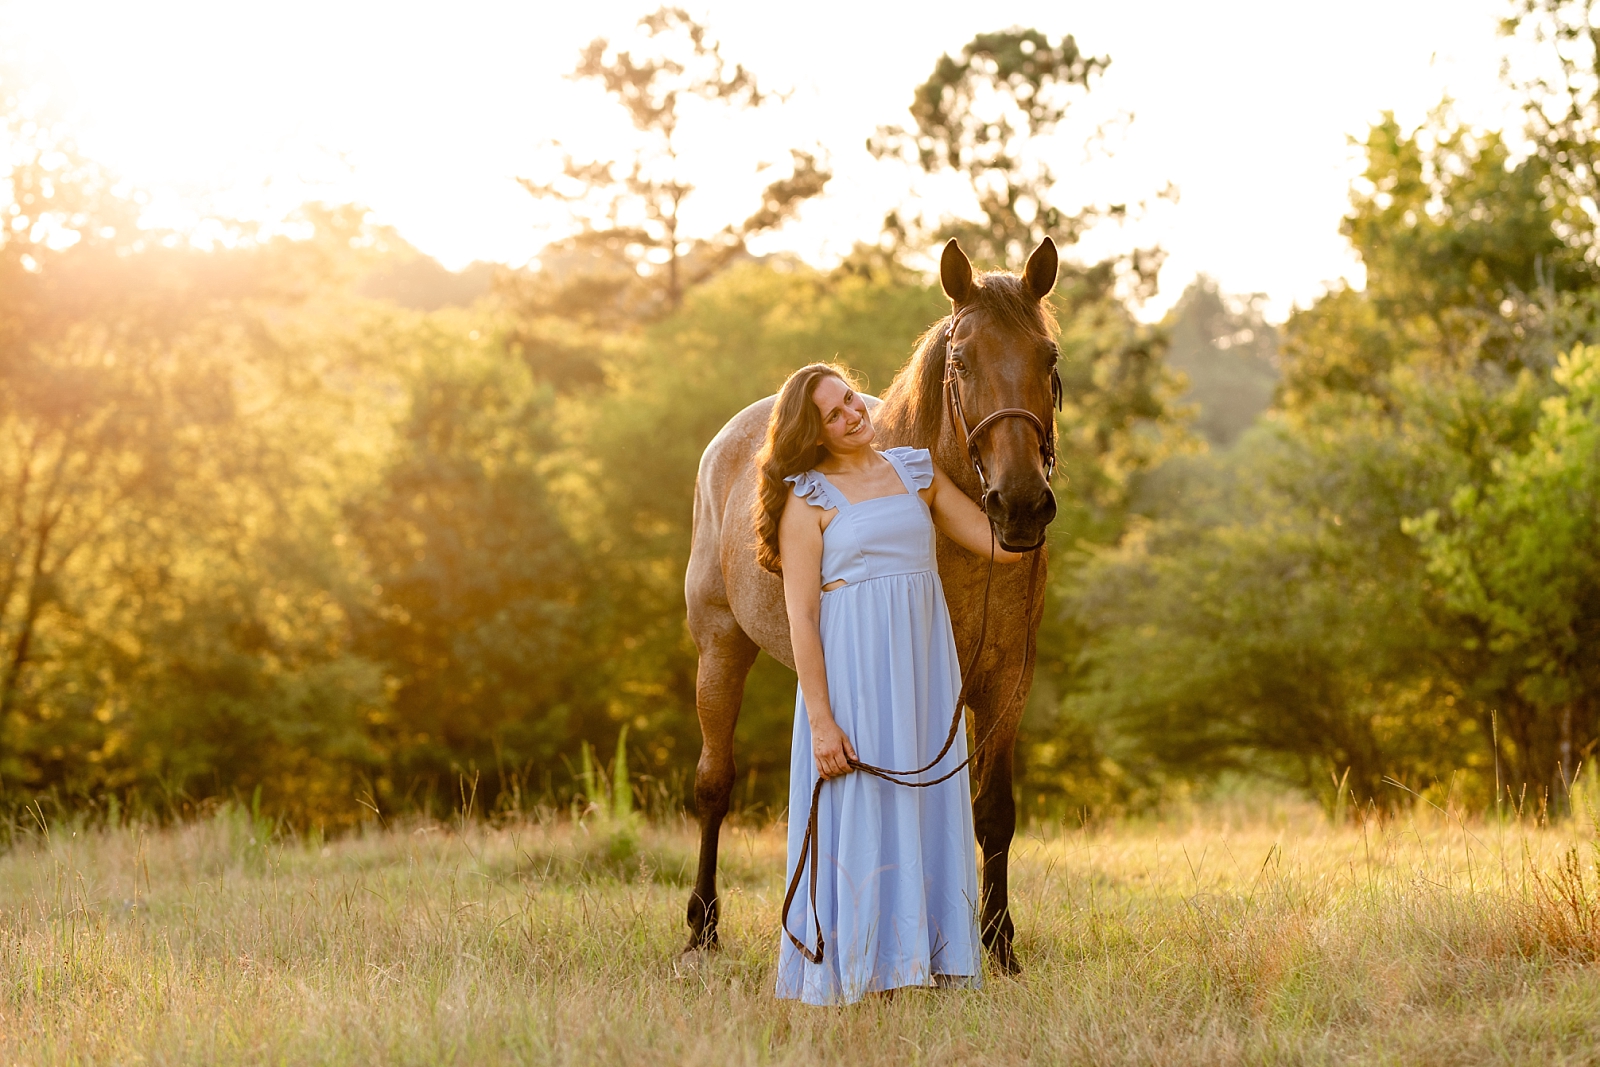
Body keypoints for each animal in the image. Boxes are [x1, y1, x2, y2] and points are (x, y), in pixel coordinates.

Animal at [678, 238, 1062, 972]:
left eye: (1048, 358)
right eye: (962, 361)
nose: (1021, 504)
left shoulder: (1008, 679)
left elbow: (994, 810)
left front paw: (998, 944)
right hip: (720, 648)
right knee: (714, 783)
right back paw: (701, 929)